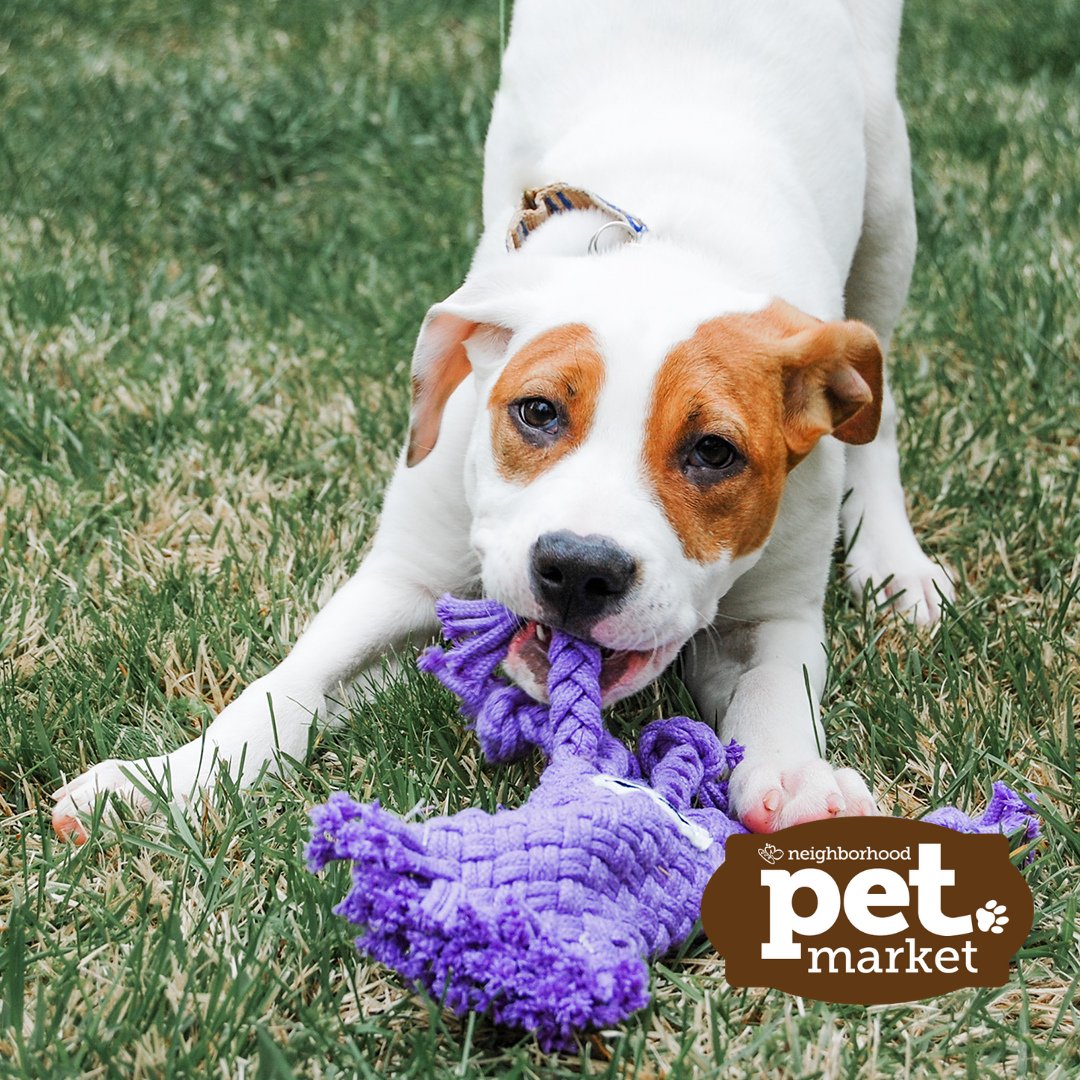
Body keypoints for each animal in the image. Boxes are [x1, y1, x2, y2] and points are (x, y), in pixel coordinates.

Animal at [52, 0, 954, 838]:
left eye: (714, 452)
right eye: (538, 411)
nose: (580, 570)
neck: (677, 252)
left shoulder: (774, 614)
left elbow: (777, 695)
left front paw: (800, 783)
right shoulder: (406, 575)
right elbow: (290, 682)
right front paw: (165, 780)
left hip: (888, 203)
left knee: (877, 413)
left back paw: (893, 558)